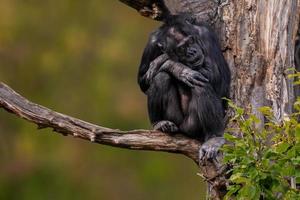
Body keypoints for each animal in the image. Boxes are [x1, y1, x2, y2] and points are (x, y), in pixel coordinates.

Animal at [137, 14, 231, 160]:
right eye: (182, 48)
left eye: (190, 42)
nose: (192, 51)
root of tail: (184, 130)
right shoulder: (151, 44)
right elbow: (142, 80)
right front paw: (178, 68)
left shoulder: (206, 35)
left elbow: (219, 77)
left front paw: (164, 61)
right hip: (175, 119)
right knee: (161, 77)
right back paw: (159, 122)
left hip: (193, 125)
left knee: (201, 86)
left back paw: (214, 138)